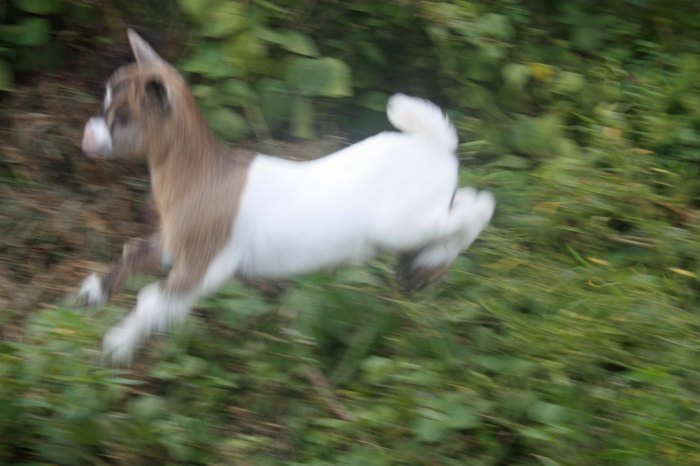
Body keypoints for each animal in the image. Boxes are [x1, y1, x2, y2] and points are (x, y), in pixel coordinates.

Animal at [78, 29, 496, 365]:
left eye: (123, 119)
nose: (87, 137)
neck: (203, 176)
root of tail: (435, 145)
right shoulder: (175, 241)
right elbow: (135, 254)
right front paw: (93, 293)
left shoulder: (207, 264)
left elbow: (153, 301)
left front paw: (117, 346)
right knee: (466, 204)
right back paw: (421, 269)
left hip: (405, 224)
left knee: (478, 205)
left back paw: (431, 262)